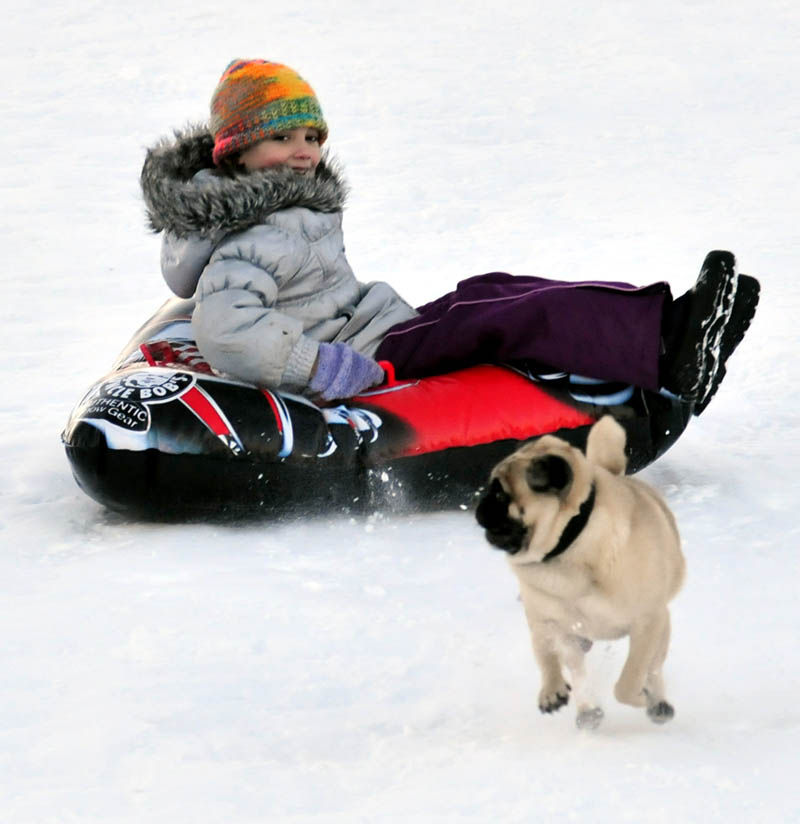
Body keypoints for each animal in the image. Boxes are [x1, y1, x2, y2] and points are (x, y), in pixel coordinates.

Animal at [476, 418, 688, 728]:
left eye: (501, 493)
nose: (479, 506)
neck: (567, 547)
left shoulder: (648, 622)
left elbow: (628, 681)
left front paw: (642, 697)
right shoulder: (546, 621)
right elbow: (550, 659)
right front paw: (553, 690)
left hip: (661, 628)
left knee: (653, 668)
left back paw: (657, 703)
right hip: (561, 631)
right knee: (570, 665)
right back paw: (587, 711)